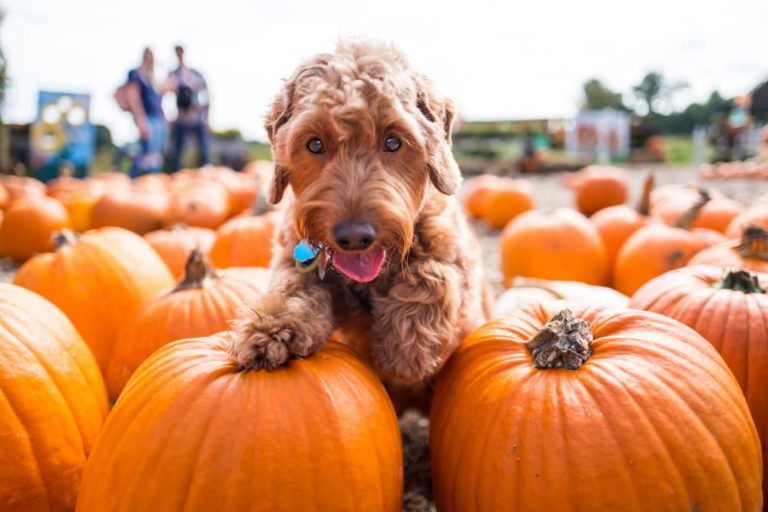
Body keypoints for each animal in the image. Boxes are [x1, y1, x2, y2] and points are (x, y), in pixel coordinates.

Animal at [231, 40, 488, 396]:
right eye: (314, 144)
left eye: (393, 141)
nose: (354, 237)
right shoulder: (294, 258)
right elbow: (292, 286)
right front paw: (269, 331)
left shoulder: (458, 267)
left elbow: (434, 274)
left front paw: (407, 349)